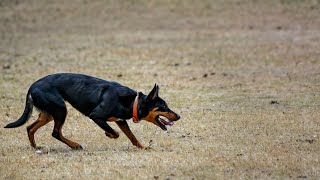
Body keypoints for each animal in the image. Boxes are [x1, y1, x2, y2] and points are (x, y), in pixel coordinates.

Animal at [4, 73, 180, 149]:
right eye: (164, 107)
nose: (178, 116)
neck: (132, 102)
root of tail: (32, 86)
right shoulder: (96, 116)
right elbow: (115, 133)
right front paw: (108, 134)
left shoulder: (121, 121)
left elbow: (132, 137)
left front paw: (142, 147)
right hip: (60, 109)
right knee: (55, 132)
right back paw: (74, 145)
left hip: (48, 113)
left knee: (30, 128)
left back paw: (36, 147)